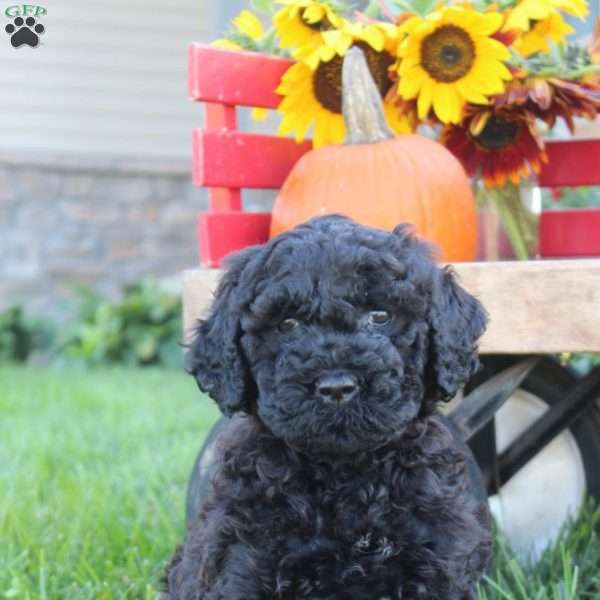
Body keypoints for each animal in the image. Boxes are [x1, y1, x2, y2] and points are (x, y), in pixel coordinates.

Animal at [163, 216, 488, 600]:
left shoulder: (437, 557)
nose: (336, 387)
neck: (343, 474)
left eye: (380, 315)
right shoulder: (241, 556)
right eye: (287, 324)